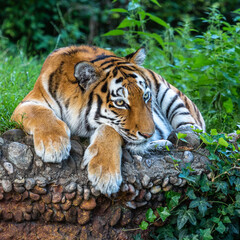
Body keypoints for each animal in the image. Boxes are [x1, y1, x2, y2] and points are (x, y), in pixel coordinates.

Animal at [11, 45, 205, 195]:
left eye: (146, 97)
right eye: (120, 103)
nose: (148, 134)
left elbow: (109, 129)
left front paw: (105, 174)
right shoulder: (27, 103)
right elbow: (40, 114)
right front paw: (54, 145)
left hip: (171, 94)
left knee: (194, 130)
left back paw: (178, 137)